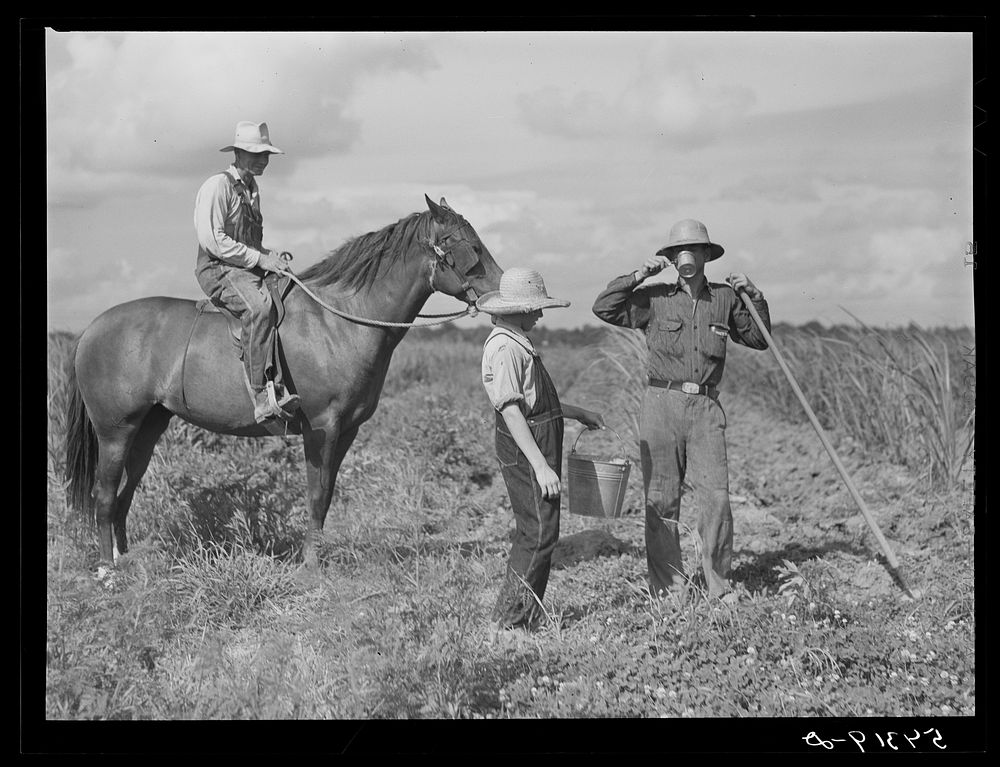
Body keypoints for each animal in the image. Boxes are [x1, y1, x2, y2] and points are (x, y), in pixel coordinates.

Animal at [63, 195, 504, 572]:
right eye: (467, 244)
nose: (502, 291)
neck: (340, 321)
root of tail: (89, 331)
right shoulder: (321, 427)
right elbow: (316, 494)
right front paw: (310, 566)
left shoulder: (346, 431)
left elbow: (326, 495)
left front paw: (318, 556)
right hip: (115, 432)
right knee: (104, 495)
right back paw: (106, 570)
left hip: (148, 429)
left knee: (123, 495)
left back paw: (124, 560)